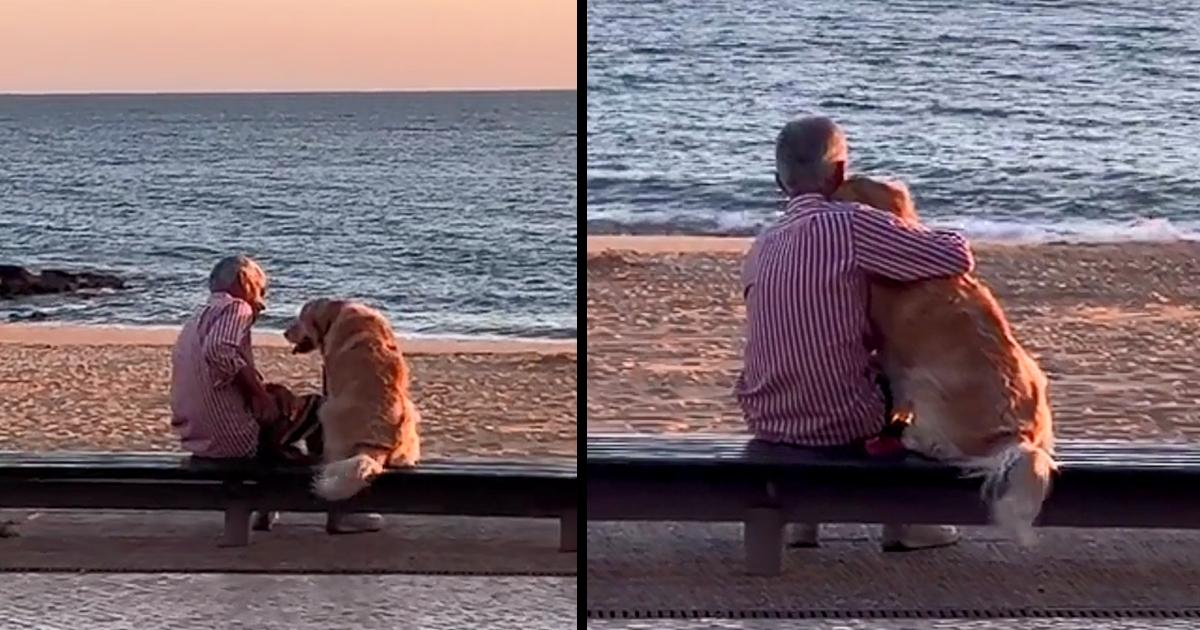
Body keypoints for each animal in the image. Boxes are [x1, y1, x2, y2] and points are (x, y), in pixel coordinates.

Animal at [284, 297, 424, 499]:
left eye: (300, 319)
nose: (284, 333)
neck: (335, 313)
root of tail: (377, 446)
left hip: (327, 410)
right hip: (411, 413)